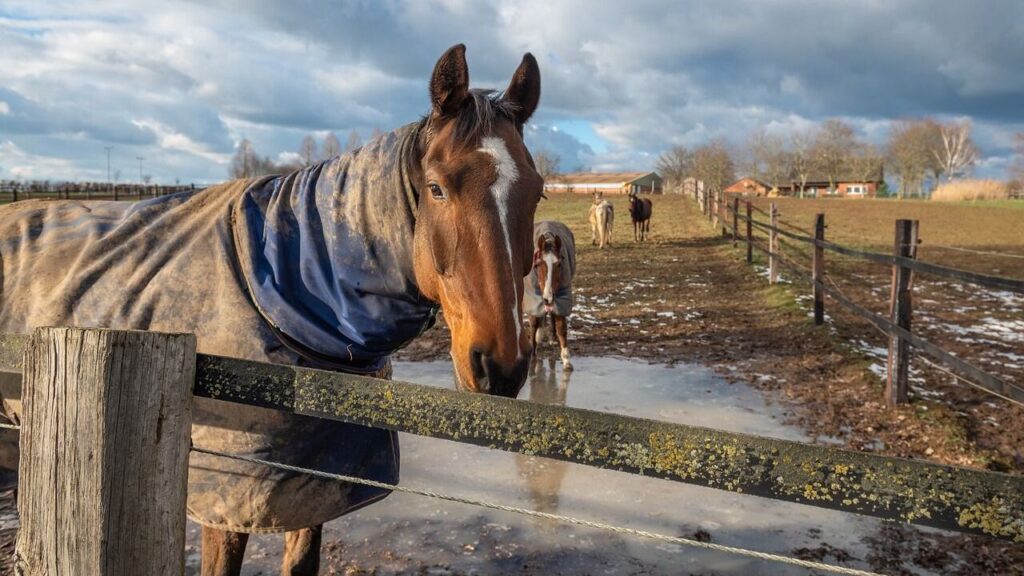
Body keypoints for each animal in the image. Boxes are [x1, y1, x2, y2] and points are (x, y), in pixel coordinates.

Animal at [0, 44, 542, 575]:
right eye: (436, 187)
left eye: (537, 191)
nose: (501, 365)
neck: (283, 293)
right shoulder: (226, 501)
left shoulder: (313, 487)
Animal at [523, 221, 576, 371]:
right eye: (538, 264)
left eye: (559, 264)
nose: (547, 298)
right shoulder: (533, 296)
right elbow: (534, 322)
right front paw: (533, 353)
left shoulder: (561, 296)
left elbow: (561, 326)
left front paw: (566, 359)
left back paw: (552, 338)